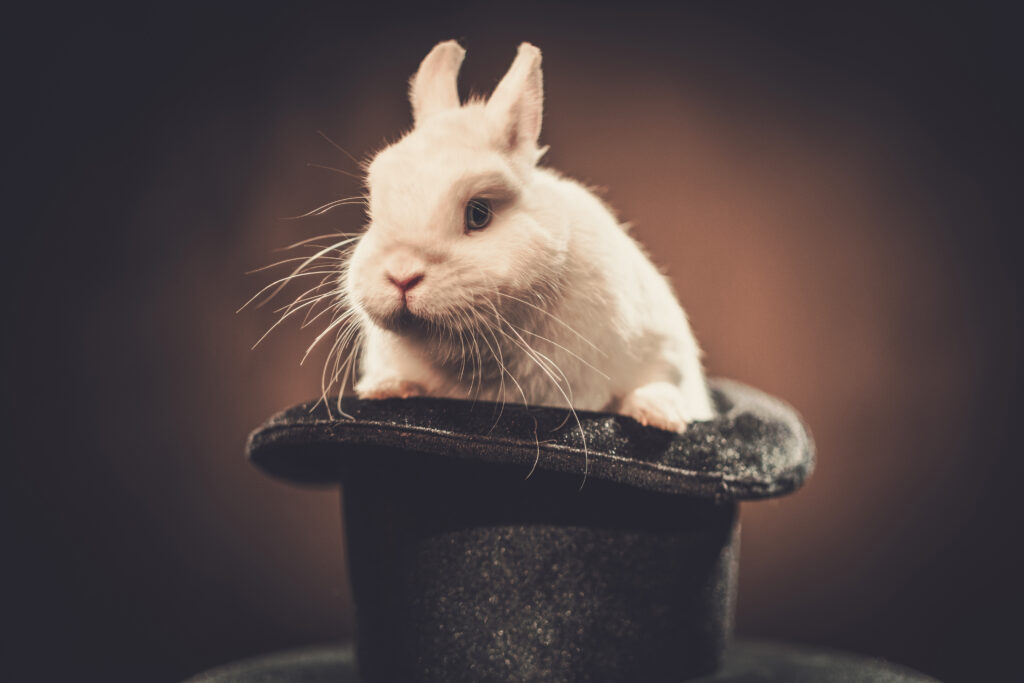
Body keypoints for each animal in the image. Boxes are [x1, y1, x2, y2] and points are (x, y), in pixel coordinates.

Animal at [336, 40, 714, 432]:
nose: (401, 276)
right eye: (374, 207)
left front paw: (660, 416)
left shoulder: (661, 346)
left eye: (478, 213)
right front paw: (386, 387)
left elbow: (658, 380)